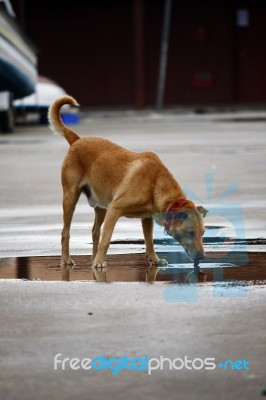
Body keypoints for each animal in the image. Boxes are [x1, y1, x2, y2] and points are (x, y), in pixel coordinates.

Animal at [48, 95, 209, 274]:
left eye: (202, 233)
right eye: (190, 233)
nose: (203, 257)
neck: (155, 183)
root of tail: (77, 140)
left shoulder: (146, 218)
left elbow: (149, 241)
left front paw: (154, 260)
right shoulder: (114, 209)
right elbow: (107, 239)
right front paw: (101, 262)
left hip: (101, 206)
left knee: (95, 232)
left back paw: (93, 258)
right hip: (71, 198)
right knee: (66, 233)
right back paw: (69, 260)